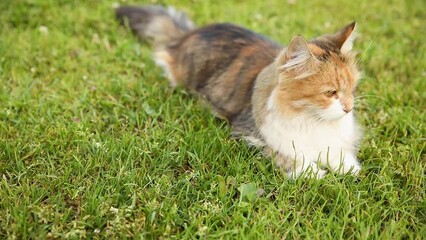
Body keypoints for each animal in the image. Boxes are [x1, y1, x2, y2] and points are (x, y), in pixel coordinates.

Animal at [115, 4, 362, 178]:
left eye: (352, 89)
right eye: (330, 93)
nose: (349, 109)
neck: (310, 120)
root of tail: (190, 33)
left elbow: (338, 154)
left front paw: (350, 168)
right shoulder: (251, 135)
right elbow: (289, 156)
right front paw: (315, 172)